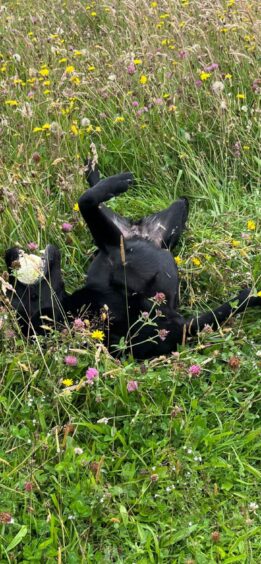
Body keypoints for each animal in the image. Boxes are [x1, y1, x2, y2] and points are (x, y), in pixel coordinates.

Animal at [4, 161, 260, 360]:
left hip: (128, 227)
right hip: (127, 235)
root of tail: (141, 230)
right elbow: (231, 306)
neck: (70, 312)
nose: (9, 254)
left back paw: (94, 171)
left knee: (95, 198)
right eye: (29, 294)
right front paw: (252, 295)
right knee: (90, 203)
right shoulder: (178, 325)